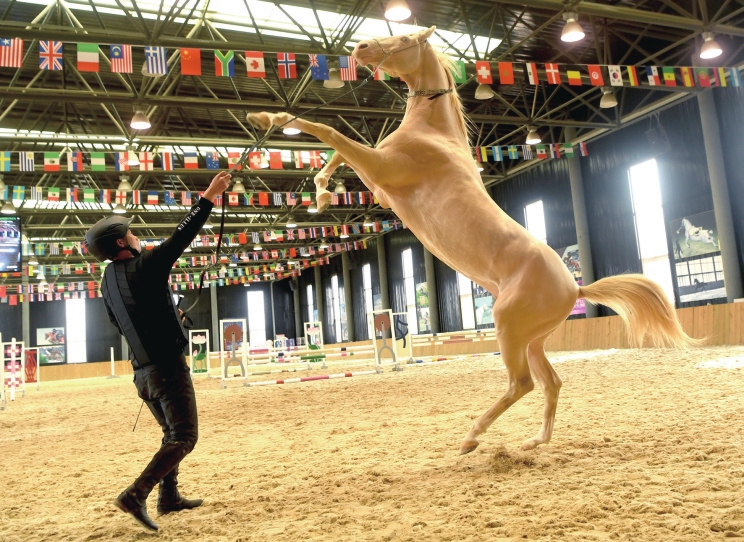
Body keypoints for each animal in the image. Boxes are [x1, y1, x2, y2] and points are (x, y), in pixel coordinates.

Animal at [247, 27, 700, 456]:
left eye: (406, 38)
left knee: (522, 384)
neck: (433, 133)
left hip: (509, 330)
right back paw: (534, 442)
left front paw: (267, 117)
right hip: (531, 340)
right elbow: (336, 154)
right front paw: (323, 192)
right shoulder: (378, 182)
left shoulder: (381, 169)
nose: (361, 49)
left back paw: (471, 438)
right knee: (551, 382)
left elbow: (329, 132)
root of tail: (575, 288)